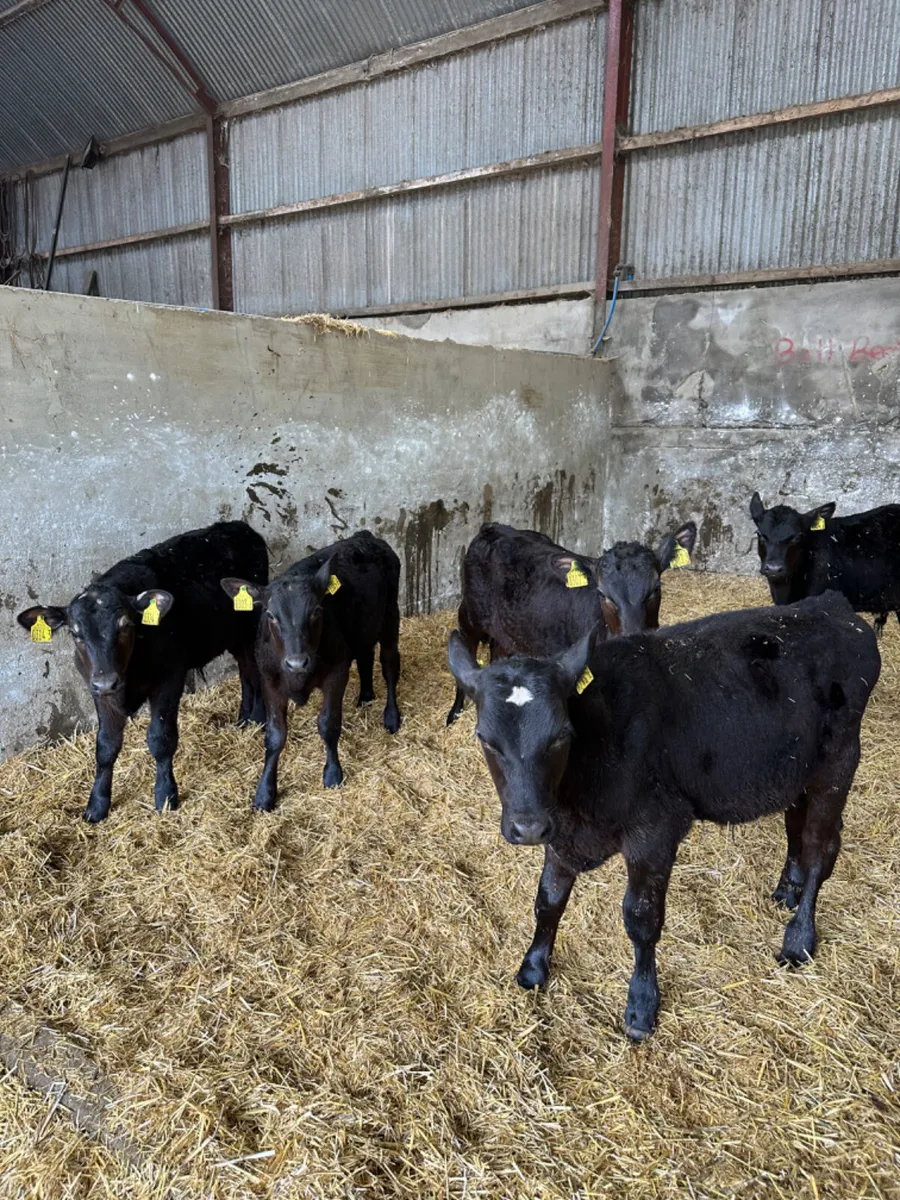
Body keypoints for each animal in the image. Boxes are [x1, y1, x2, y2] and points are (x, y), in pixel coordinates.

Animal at [17, 521, 268, 823]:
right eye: (76, 633)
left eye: (125, 625)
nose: (106, 681)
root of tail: (238, 526)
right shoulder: (99, 692)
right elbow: (106, 746)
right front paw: (97, 804)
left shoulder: (169, 678)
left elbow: (161, 738)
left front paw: (165, 794)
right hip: (232, 635)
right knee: (246, 671)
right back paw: (244, 719)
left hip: (251, 627)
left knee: (255, 669)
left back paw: (259, 718)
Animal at [221, 529, 402, 808]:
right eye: (270, 615)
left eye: (317, 610)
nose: (297, 662)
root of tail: (365, 536)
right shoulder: (270, 681)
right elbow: (275, 735)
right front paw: (264, 792)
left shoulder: (336, 673)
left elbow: (328, 724)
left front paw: (333, 773)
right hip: (363, 627)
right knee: (365, 656)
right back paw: (365, 697)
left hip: (391, 616)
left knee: (390, 665)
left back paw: (391, 716)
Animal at [448, 591, 879, 1040]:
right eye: (486, 739)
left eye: (561, 735)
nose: (528, 827)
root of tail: (830, 604)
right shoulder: (563, 834)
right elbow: (548, 901)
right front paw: (533, 967)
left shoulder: (654, 831)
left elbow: (641, 918)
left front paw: (641, 1005)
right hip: (795, 769)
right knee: (797, 827)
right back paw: (786, 891)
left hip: (838, 762)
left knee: (819, 848)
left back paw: (798, 937)